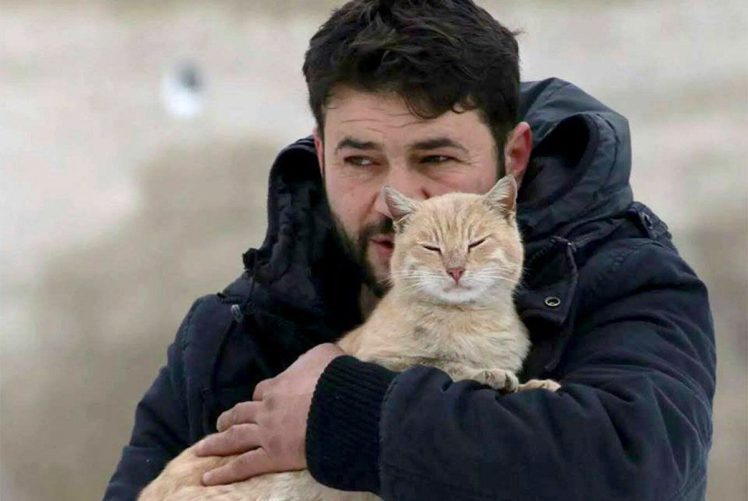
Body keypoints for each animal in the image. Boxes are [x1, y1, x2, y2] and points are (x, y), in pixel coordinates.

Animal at [139, 175, 560, 500]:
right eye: (432, 247)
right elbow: (442, 366)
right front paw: (491, 374)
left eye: (476, 243)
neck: (467, 318)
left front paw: (535, 383)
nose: (455, 270)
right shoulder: (384, 362)